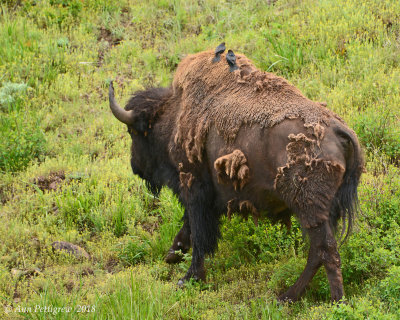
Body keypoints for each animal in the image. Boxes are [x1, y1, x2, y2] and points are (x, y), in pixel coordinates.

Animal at [108, 47, 364, 302]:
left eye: (133, 132)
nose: (135, 167)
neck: (173, 115)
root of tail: (338, 129)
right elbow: (190, 226)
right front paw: (173, 253)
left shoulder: (194, 189)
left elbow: (199, 234)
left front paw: (189, 278)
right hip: (322, 211)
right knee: (319, 251)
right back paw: (292, 296)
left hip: (308, 209)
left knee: (325, 250)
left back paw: (324, 299)